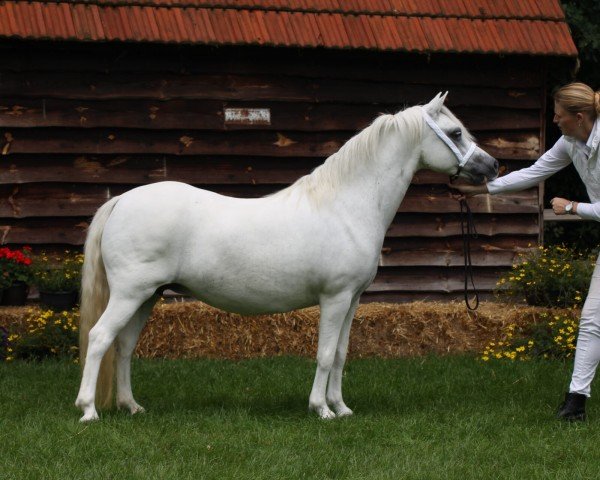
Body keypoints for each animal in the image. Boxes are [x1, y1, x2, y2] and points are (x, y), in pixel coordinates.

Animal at [75, 93, 496, 420]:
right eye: (456, 133)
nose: (492, 166)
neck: (346, 205)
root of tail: (122, 200)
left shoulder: (353, 300)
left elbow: (341, 353)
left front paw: (341, 407)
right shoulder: (335, 297)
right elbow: (324, 354)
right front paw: (321, 409)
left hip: (148, 296)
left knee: (124, 346)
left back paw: (131, 406)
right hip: (130, 293)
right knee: (100, 338)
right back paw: (89, 410)